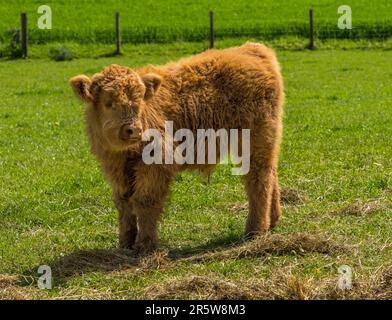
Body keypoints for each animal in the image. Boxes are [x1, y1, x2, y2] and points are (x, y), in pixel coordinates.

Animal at [70, 42, 284, 254]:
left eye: (139, 102)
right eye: (108, 103)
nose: (133, 129)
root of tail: (252, 48)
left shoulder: (156, 164)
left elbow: (144, 201)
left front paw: (145, 245)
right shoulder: (117, 170)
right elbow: (124, 204)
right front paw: (125, 243)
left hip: (255, 142)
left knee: (258, 180)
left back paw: (255, 231)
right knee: (271, 174)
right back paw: (272, 221)